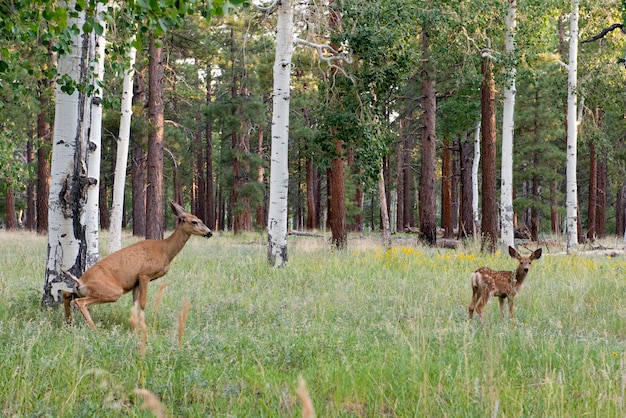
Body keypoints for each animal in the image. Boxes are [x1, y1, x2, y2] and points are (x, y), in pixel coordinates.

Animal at [62, 200, 212, 330]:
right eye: (194, 221)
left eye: (201, 220)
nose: (209, 232)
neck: (165, 250)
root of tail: (80, 281)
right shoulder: (144, 274)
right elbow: (143, 303)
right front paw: (143, 326)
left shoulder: (135, 282)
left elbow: (134, 303)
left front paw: (135, 325)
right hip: (112, 290)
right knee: (80, 302)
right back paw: (93, 328)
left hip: (82, 291)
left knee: (66, 294)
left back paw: (69, 323)